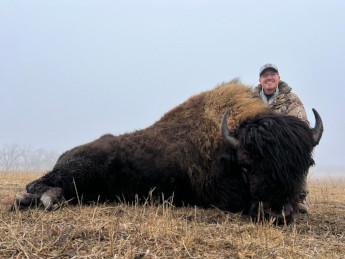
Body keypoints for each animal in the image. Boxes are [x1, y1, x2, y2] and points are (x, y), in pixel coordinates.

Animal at [13, 81, 322, 223]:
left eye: (304, 166)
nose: (276, 213)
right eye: (246, 165)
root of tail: (65, 154)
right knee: (39, 184)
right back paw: (45, 199)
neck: (229, 145)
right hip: (79, 171)